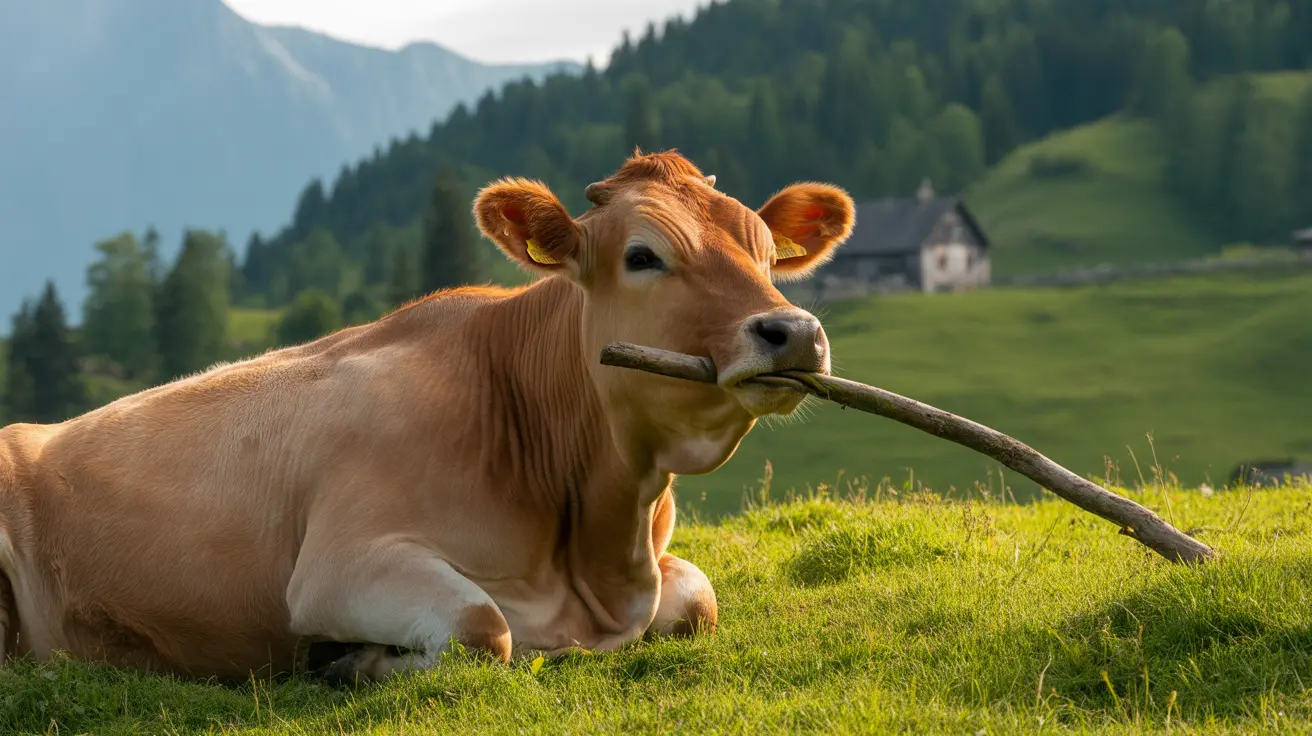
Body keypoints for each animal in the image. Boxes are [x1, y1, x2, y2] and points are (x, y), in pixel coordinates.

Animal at [0, 151, 854, 684]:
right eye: (643, 255)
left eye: (767, 254)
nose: (794, 331)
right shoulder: (339, 565)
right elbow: (484, 626)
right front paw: (355, 661)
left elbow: (698, 599)